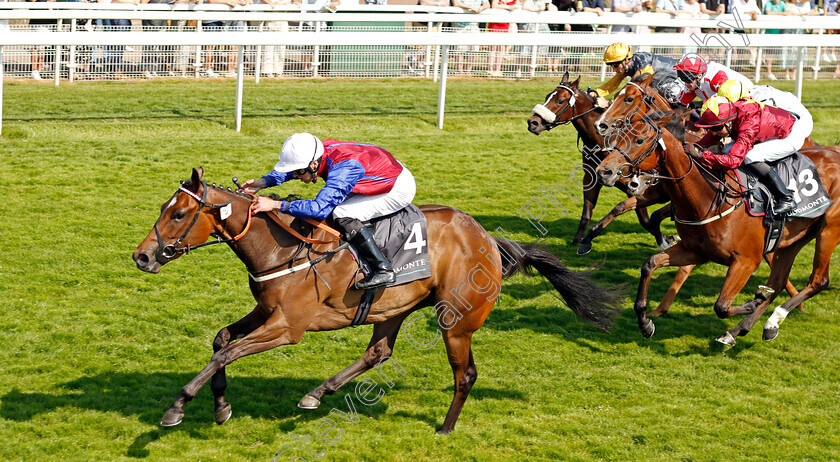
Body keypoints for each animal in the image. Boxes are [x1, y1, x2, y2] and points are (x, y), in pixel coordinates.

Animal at [133, 169, 624, 434]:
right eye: (163, 208)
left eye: (179, 213)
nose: (142, 256)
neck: (280, 246)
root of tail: (489, 240)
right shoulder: (266, 311)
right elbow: (221, 342)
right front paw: (220, 405)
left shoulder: (288, 327)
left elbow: (227, 352)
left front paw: (178, 407)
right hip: (393, 308)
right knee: (379, 351)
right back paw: (317, 393)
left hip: (456, 321)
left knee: (464, 374)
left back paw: (446, 427)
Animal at [528, 71, 680, 256]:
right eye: (547, 96)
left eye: (560, 100)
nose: (533, 122)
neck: (603, 143)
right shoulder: (591, 179)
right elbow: (586, 215)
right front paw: (576, 241)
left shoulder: (635, 185)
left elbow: (643, 217)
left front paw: (664, 240)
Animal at [596, 111, 840, 342]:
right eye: (617, 136)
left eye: (639, 140)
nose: (604, 171)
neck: (708, 198)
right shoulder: (694, 251)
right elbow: (650, 264)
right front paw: (645, 323)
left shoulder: (746, 261)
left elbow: (721, 306)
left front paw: (754, 301)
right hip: (793, 239)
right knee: (778, 281)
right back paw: (745, 329)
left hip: (828, 230)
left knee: (819, 281)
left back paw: (772, 319)